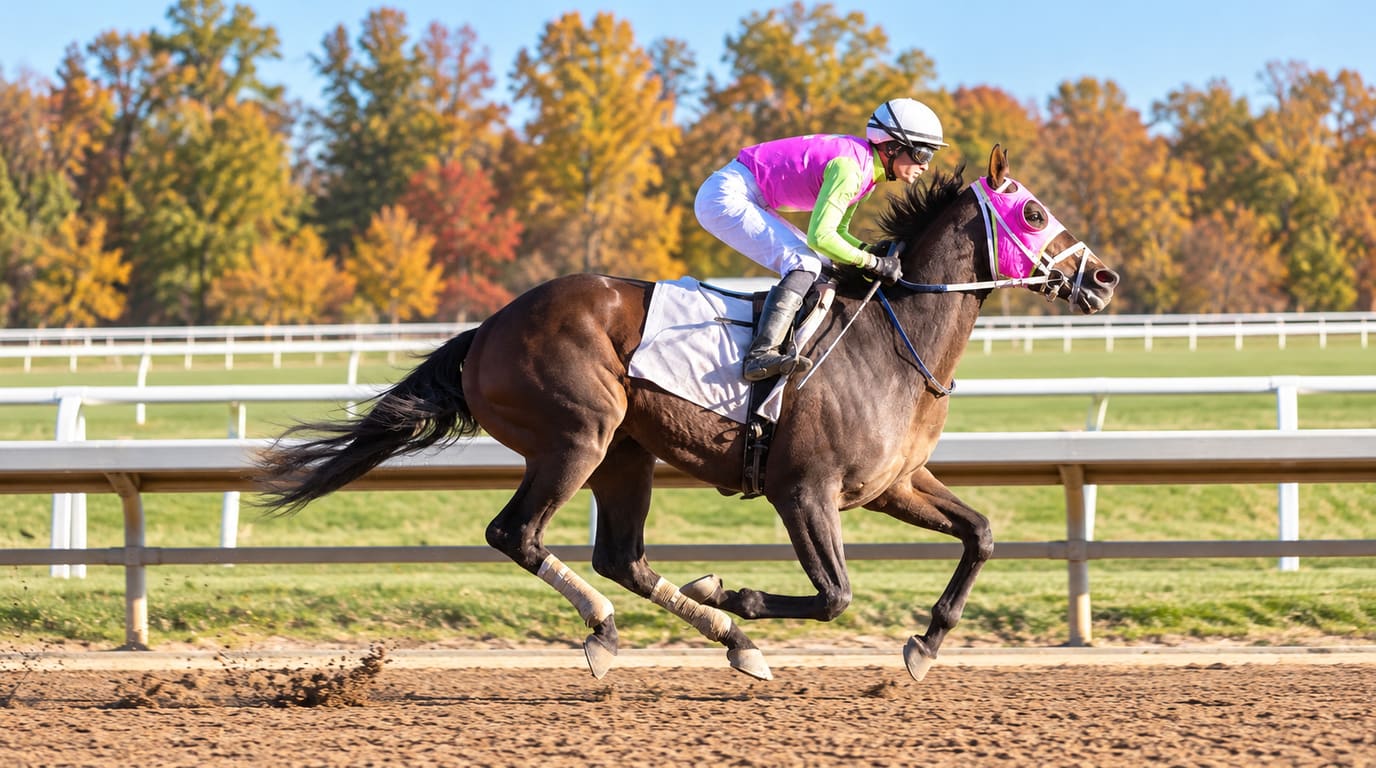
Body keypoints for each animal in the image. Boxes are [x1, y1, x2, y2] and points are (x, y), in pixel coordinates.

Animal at [256, 145, 1119, 682]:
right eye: (1034, 213)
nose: (1104, 278)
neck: (890, 339)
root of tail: (488, 330)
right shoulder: (803, 490)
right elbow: (835, 594)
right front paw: (731, 592)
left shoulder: (892, 484)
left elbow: (981, 534)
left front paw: (927, 644)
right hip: (578, 435)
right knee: (518, 535)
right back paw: (620, 627)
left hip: (625, 453)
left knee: (622, 556)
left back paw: (729, 643)